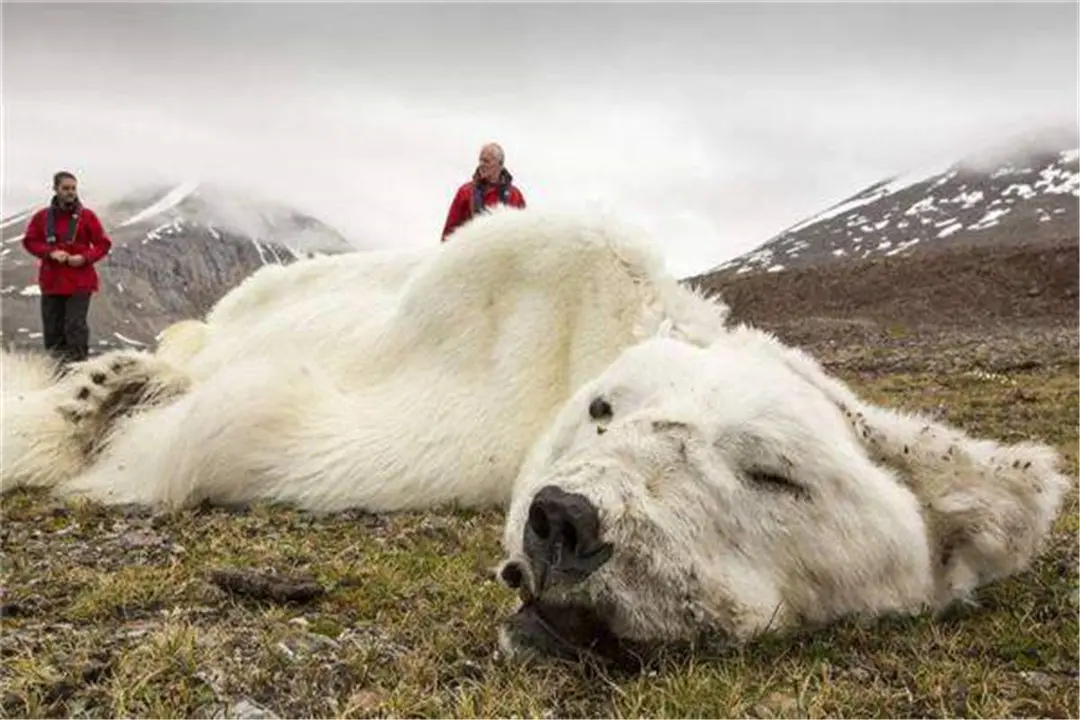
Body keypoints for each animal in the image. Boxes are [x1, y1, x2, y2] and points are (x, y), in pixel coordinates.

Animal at [0, 208, 734, 511]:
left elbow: (235, 425)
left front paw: (107, 414)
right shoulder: (555, 264)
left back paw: (108, 387)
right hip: (247, 297)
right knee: (211, 328)